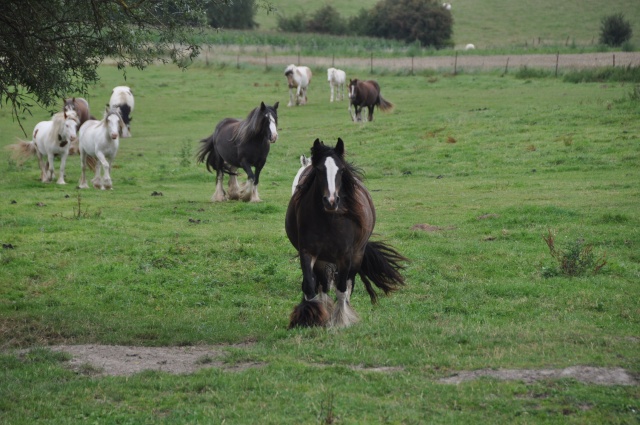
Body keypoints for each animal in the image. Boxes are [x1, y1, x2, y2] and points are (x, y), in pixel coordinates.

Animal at [284, 138, 404, 328]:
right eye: (319, 170)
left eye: (341, 170)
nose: (331, 201)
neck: (328, 220)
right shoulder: (308, 253)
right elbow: (310, 286)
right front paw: (310, 317)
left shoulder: (345, 256)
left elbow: (341, 289)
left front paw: (340, 320)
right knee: (324, 285)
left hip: (356, 256)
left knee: (348, 284)